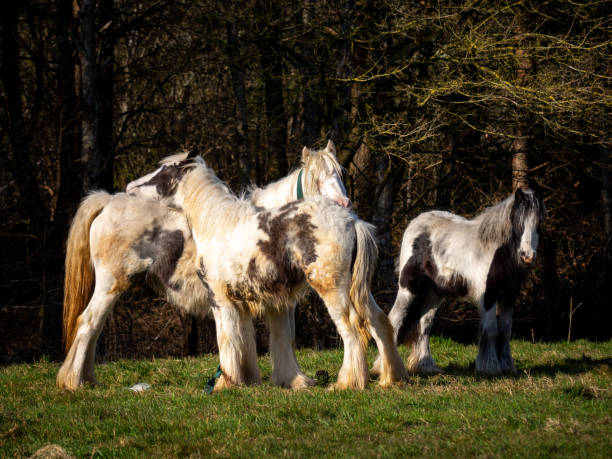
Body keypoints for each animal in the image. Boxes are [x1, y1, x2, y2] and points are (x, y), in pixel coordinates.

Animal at [370, 189, 544, 376]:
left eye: (538, 222)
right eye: (519, 222)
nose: (528, 256)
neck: (497, 251)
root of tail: (414, 224)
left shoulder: (508, 296)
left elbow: (505, 331)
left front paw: (507, 366)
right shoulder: (488, 296)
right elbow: (491, 330)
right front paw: (490, 368)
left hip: (433, 293)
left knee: (424, 325)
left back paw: (425, 367)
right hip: (408, 288)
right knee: (394, 320)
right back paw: (383, 367)